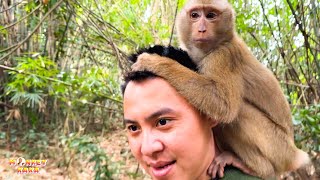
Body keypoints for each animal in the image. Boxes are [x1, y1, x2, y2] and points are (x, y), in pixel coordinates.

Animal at [131, 0, 310, 179]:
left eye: (211, 15)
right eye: (195, 15)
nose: (201, 29)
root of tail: (295, 155)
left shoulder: (224, 56)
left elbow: (224, 105)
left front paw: (156, 63)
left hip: (278, 149)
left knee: (237, 115)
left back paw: (257, 168)